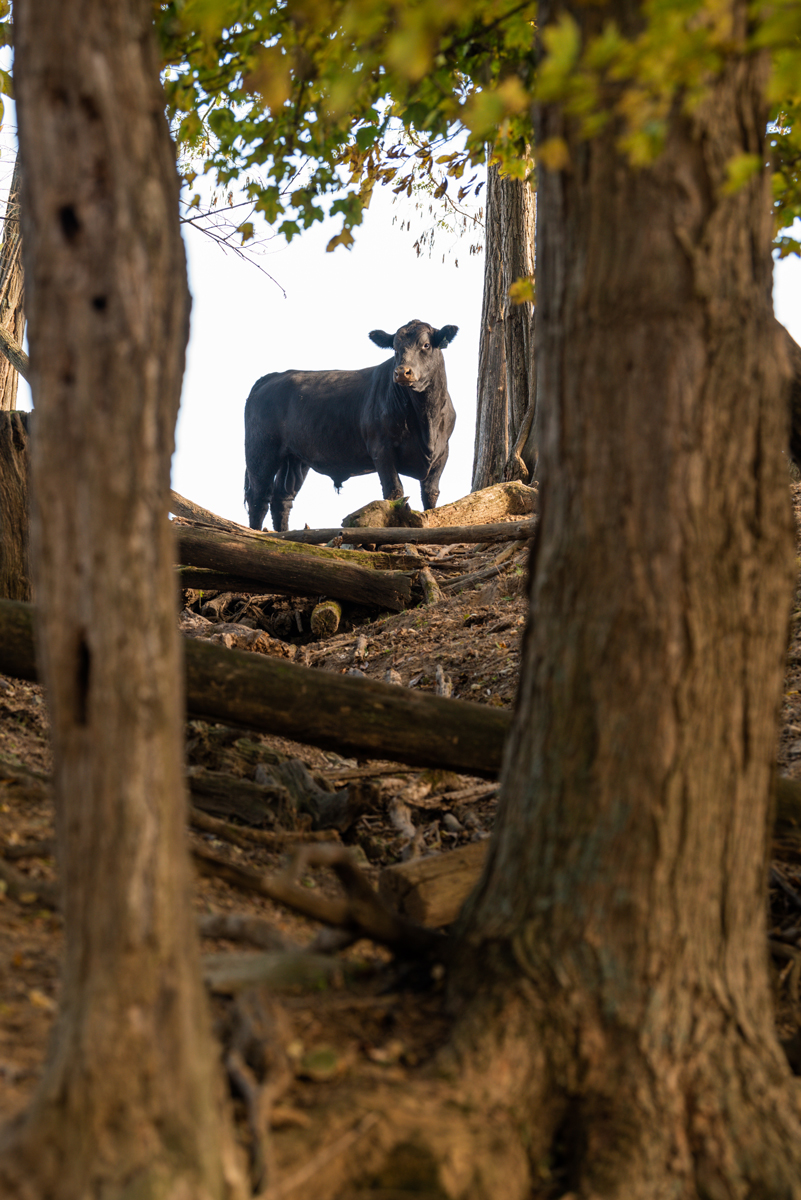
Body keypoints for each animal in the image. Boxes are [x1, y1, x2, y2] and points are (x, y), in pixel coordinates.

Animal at [242, 319, 455, 530]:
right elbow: (394, 492)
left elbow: (430, 494)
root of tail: (273, 376)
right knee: (259, 497)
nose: (402, 372)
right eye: (395, 348)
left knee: (282, 498)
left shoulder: (443, 452)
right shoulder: (381, 450)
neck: (427, 421)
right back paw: (256, 533)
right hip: (261, 451)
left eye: (425, 345)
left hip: (294, 458)